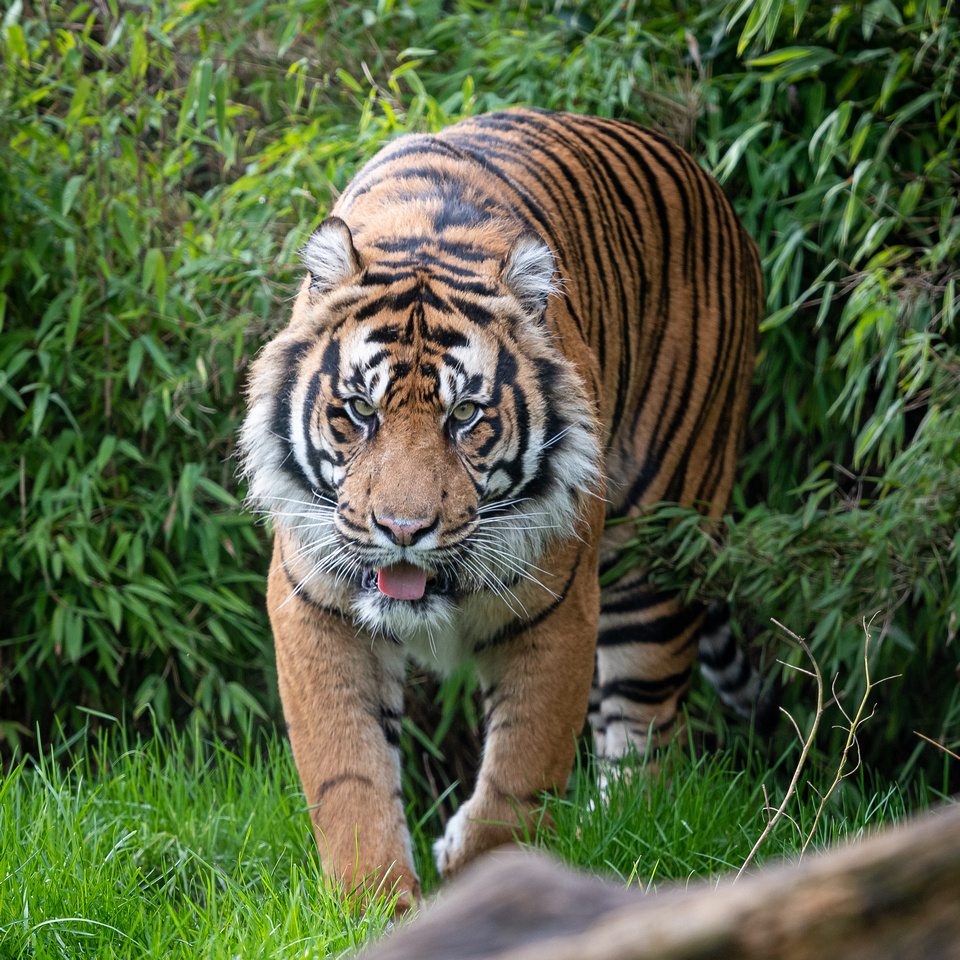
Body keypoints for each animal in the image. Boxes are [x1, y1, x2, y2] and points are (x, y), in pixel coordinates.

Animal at [242, 109, 772, 912]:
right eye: (360, 411)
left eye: (465, 416)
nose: (403, 531)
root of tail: (710, 184)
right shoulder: (317, 604)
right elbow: (349, 774)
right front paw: (376, 905)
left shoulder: (557, 609)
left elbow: (524, 769)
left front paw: (486, 875)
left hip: (656, 544)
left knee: (648, 737)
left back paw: (615, 843)